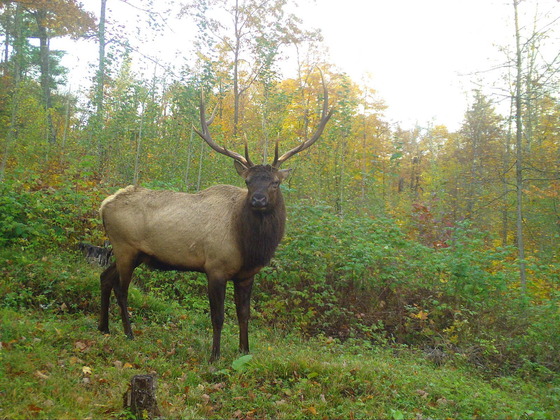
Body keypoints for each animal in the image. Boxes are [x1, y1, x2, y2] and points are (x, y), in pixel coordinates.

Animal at [97, 77, 332, 360]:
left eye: (275, 182)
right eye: (248, 181)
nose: (258, 200)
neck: (249, 246)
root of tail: (104, 206)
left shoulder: (246, 275)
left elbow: (244, 314)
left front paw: (244, 351)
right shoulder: (215, 267)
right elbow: (218, 317)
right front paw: (214, 356)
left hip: (136, 253)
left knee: (105, 278)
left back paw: (103, 327)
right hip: (125, 247)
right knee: (121, 288)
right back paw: (128, 333)